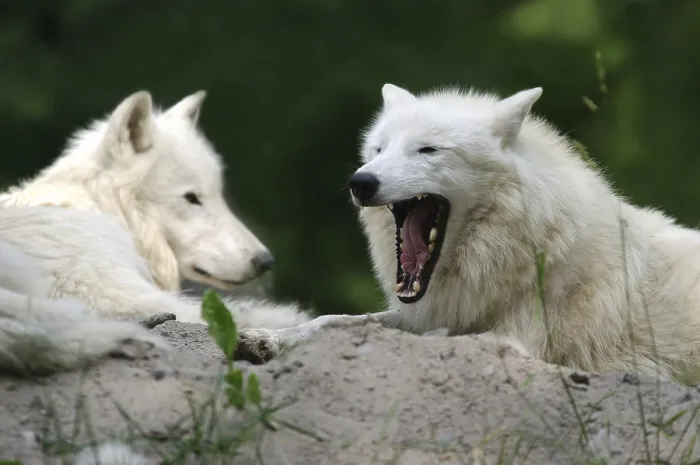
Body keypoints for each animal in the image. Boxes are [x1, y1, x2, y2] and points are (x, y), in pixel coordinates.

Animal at [236, 82, 700, 378]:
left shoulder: (516, 341)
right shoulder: (436, 310)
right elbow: (338, 320)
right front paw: (268, 339)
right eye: (379, 150)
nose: (361, 182)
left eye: (427, 150)